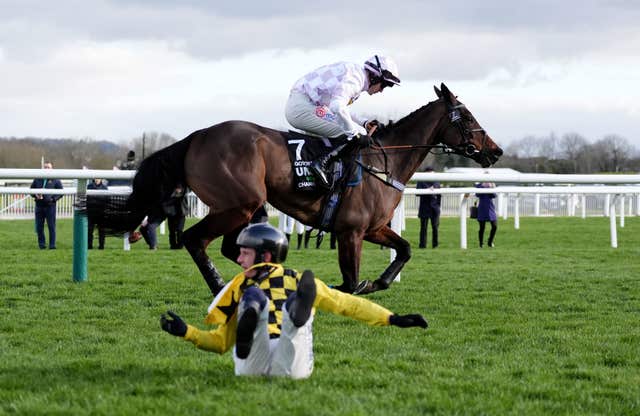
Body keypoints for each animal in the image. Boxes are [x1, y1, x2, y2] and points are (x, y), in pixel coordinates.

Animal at [96, 82, 504, 296]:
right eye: (467, 117)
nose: (495, 151)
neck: (384, 159)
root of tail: (197, 136)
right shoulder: (351, 231)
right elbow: (351, 280)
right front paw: (354, 288)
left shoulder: (372, 228)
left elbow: (403, 249)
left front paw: (380, 281)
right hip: (240, 203)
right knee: (196, 240)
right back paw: (222, 286)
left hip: (245, 206)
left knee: (230, 246)